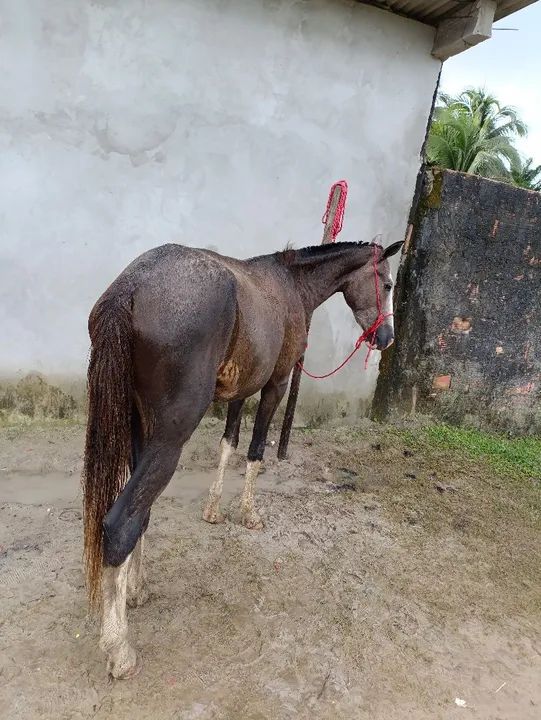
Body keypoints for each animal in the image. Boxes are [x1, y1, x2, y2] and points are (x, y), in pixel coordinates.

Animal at [82, 238, 402, 678]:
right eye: (387, 283)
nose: (385, 338)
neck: (290, 284)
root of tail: (130, 287)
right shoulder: (276, 384)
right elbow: (254, 451)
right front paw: (249, 513)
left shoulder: (241, 390)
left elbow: (228, 443)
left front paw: (214, 509)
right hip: (168, 437)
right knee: (119, 524)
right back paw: (119, 648)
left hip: (138, 426)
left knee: (139, 514)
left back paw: (135, 589)